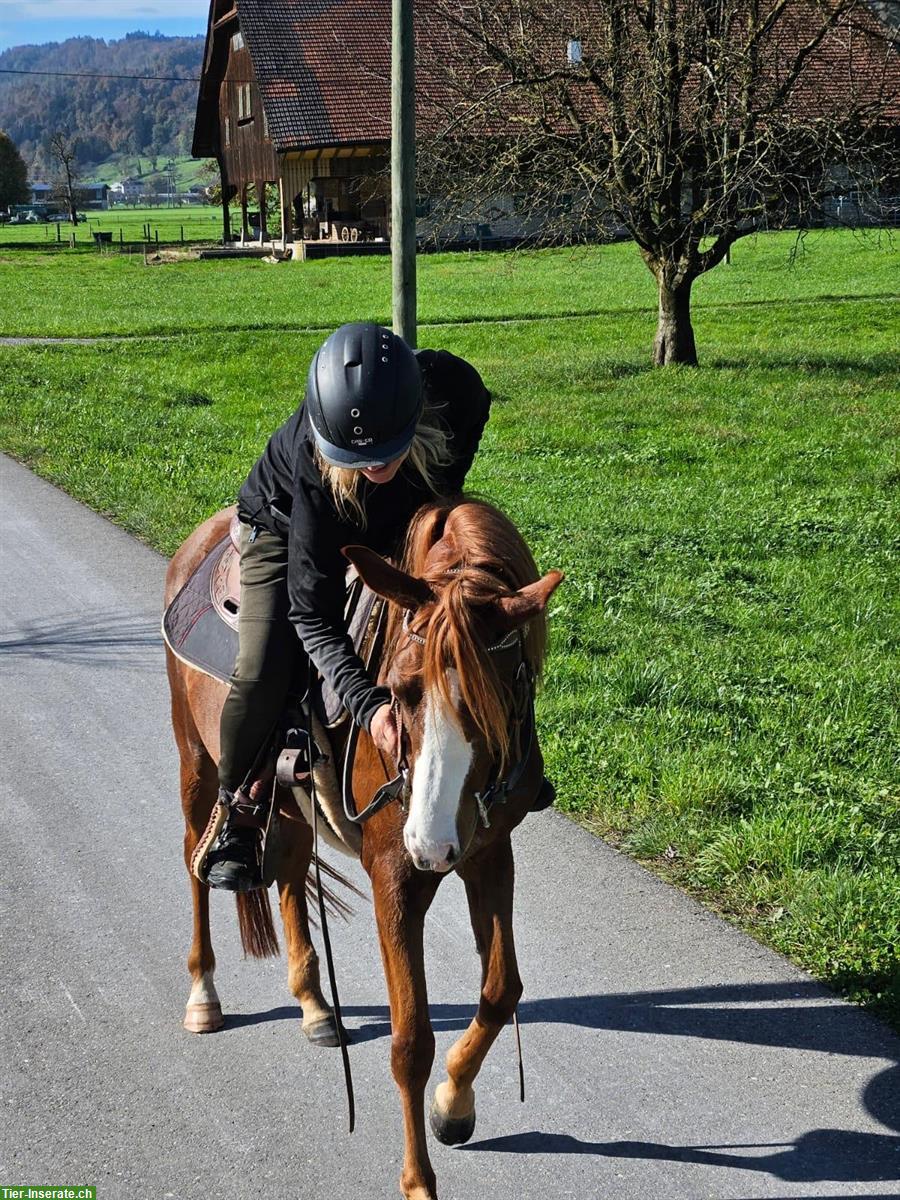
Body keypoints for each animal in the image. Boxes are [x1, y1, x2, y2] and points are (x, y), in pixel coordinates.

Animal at [165, 494, 561, 1200]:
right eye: (401, 691)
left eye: (500, 697)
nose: (431, 843)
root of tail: (205, 535)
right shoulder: (394, 878)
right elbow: (409, 1041)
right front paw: (419, 1180)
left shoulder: (489, 854)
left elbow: (500, 991)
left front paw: (453, 1105)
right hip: (198, 762)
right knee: (196, 863)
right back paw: (203, 994)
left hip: (290, 802)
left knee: (291, 874)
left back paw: (314, 1005)